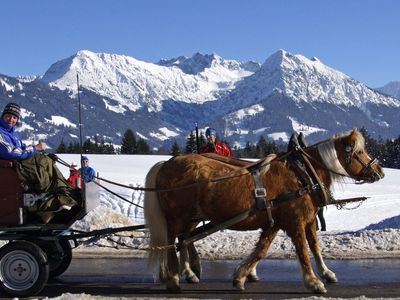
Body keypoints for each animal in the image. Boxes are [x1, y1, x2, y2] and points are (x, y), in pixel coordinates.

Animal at [144, 129, 384, 292]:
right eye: (360, 151)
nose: (380, 171)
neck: (303, 174)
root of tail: (166, 163)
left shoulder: (285, 221)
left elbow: (268, 249)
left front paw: (241, 275)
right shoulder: (296, 221)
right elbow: (303, 251)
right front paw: (314, 282)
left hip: (191, 217)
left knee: (183, 239)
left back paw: (186, 272)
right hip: (177, 217)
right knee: (173, 241)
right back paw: (173, 277)